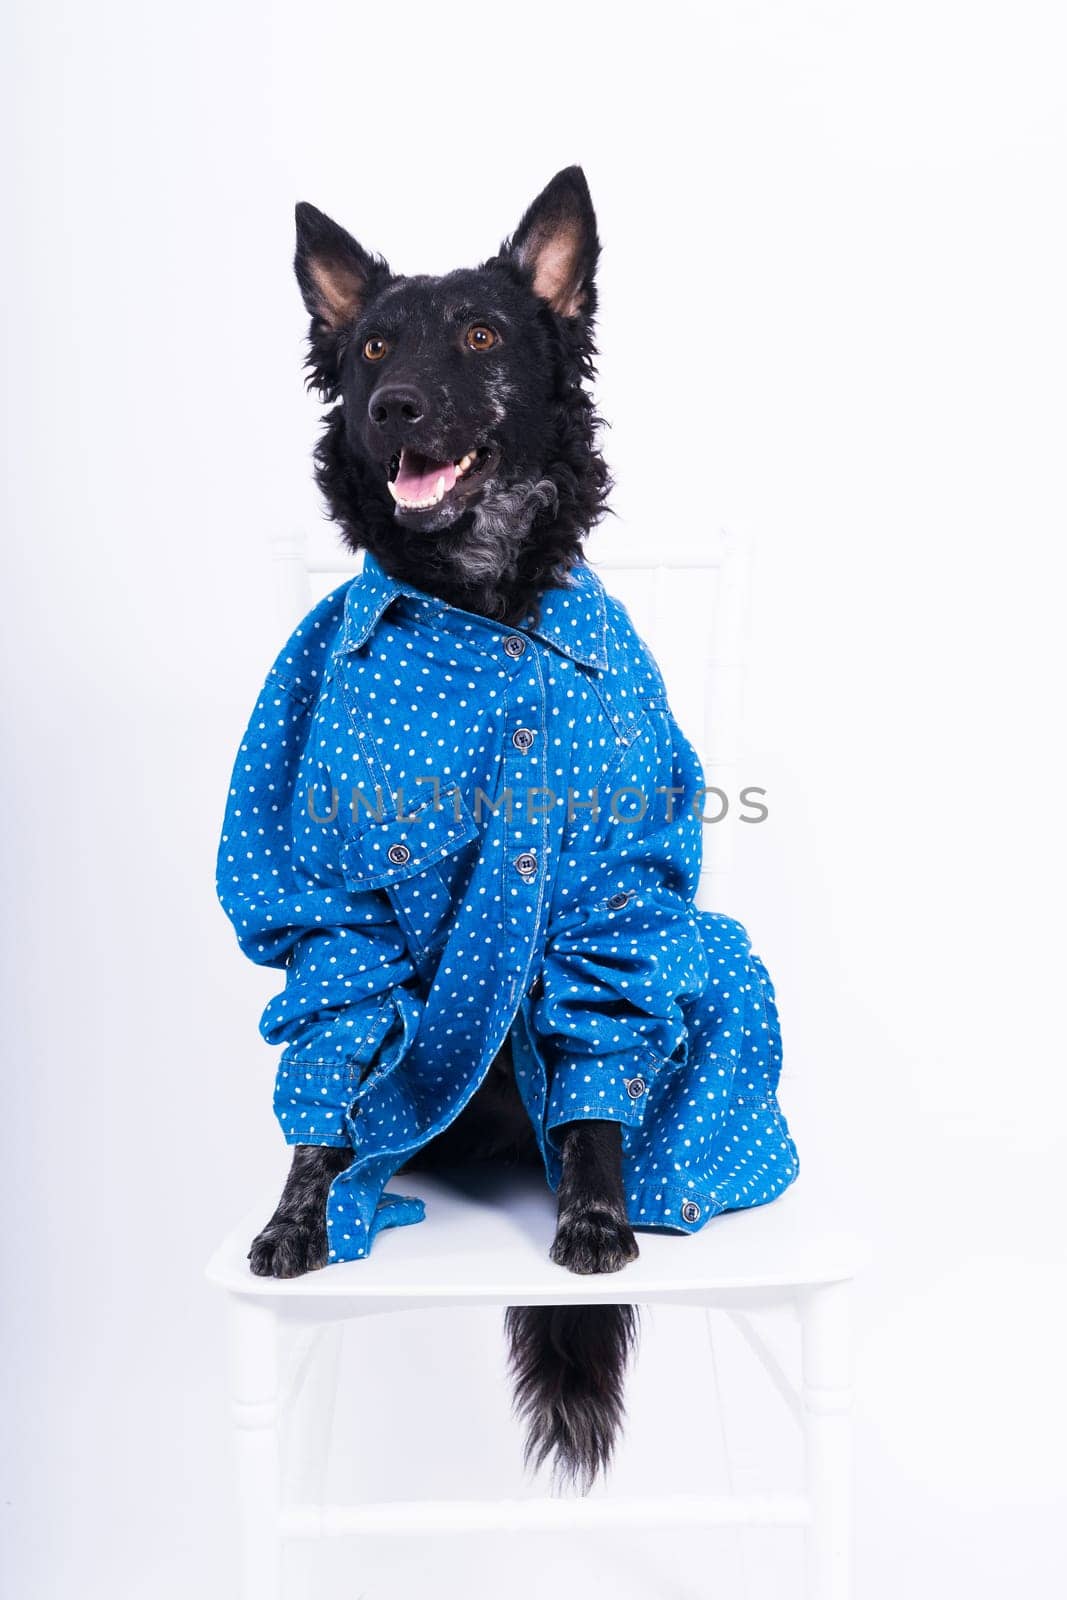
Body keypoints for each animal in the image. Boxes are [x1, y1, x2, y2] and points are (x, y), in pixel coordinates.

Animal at [251, 172, 643, 1484]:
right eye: (371, 346)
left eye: (479, 334)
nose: (393, 407)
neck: (476, 599)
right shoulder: (330, 895)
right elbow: (328, 1072)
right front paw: (300, 1208)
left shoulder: (599, 888)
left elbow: (592, 1079)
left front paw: (594, 1211)